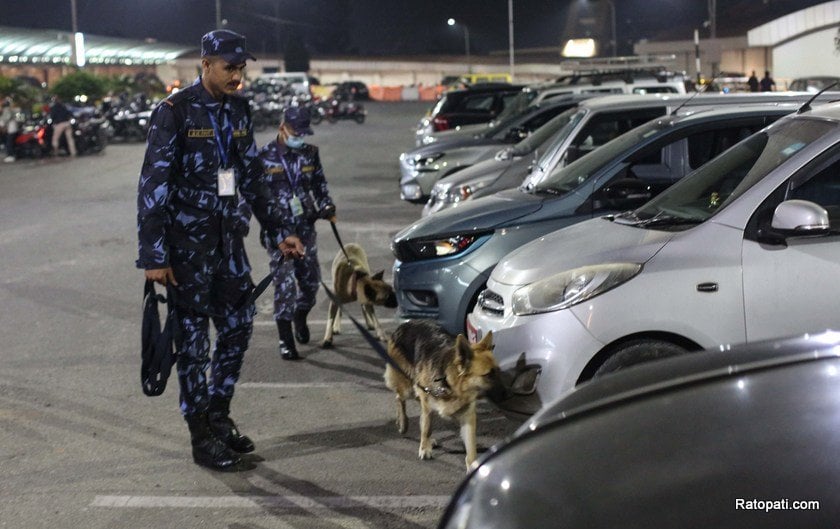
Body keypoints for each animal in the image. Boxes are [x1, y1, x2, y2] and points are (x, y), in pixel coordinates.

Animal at [386, 318, 506, 470]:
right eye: (488, 375)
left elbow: (471, 447)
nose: (508, 395)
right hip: (408, 387)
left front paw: (473, 465)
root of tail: (407, 323)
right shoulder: (428, 406)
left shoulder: (468, 417)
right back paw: (403, 423)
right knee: (399, 398)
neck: (450, 383)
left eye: (498, 372)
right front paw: (424, 448)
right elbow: (427, 428)